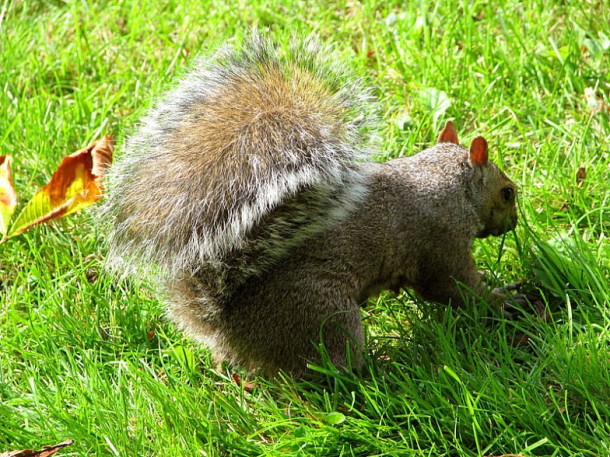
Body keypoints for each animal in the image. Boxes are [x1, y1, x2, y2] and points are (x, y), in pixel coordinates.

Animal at [102, 34, 516, 378]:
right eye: (507, 192)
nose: (513, 222)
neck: (447, 182)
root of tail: (227, 329)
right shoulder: (440, 241)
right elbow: (454, 287)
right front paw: (503, 299)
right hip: (325, 314)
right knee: (331, 369)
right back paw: (379, 370)